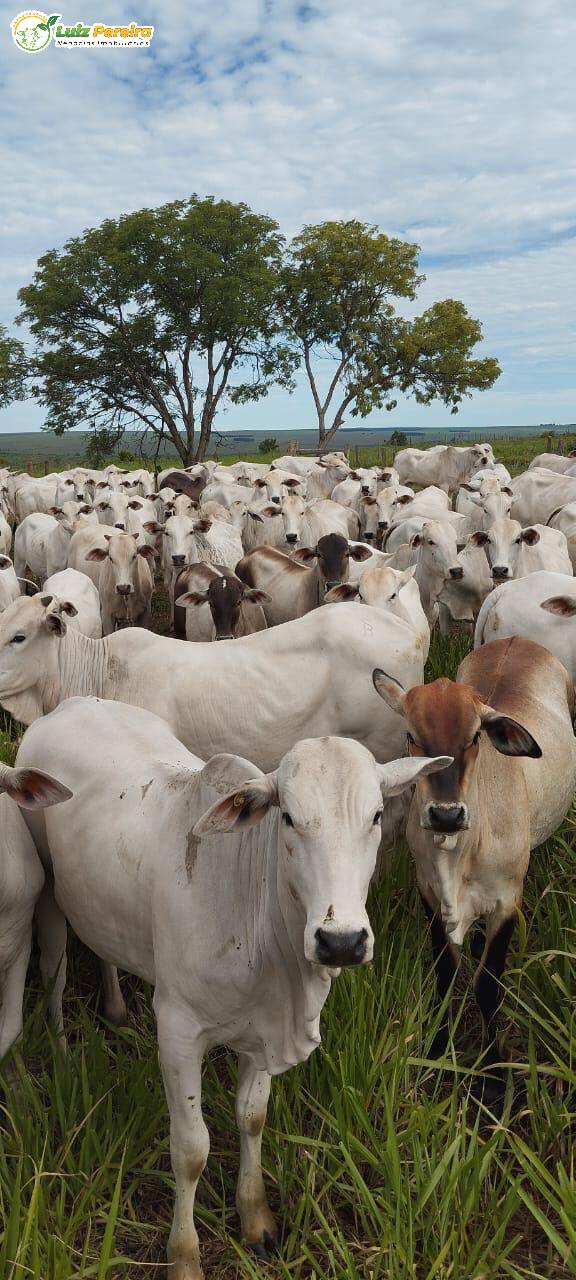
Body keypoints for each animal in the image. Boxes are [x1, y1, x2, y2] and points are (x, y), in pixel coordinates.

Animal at [16, 701, 450, 1280]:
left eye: (377, 816)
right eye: (287, 817)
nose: (340, 941)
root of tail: (70, 704)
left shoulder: (263, 1030)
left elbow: (252, 1117)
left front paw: (256, 1217)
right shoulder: (177, 1032)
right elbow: (191, 1149)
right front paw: (184, 1256)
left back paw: (115, 1008)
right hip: (47, 889)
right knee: (54, 971)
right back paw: (64, 1053)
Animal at [371, 640, 576, 1100]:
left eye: (475, 737)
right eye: (412, 736)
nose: (446, 815)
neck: (457, 856)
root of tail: (519, 640)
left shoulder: (506, 904)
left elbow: (487, 986)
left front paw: (496, 1078)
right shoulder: (429, 895)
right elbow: (445, 974)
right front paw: (438, 1050)